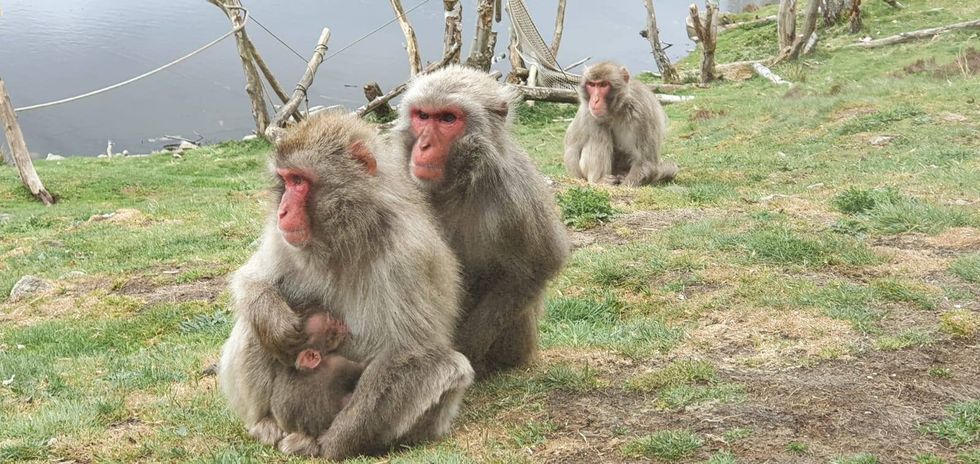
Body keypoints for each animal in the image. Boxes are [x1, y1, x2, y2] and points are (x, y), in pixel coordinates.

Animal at [217, 112, 473, 459]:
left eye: (299, 181)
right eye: (285, 180)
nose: (282, 210)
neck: (347, 235)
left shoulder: (408, 253)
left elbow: (409, 353)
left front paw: (334, 443)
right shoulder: (284, 237)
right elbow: (253, 279)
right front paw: (273, 319)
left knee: (447, 366)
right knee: (252, 326)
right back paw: (265, 422)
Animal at [394, 65, 570, 379]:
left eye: (448, 119)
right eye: (423, 116)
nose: (424, 145)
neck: (457, 183)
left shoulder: (515, 193)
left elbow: (535, 268)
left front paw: (463, 352)